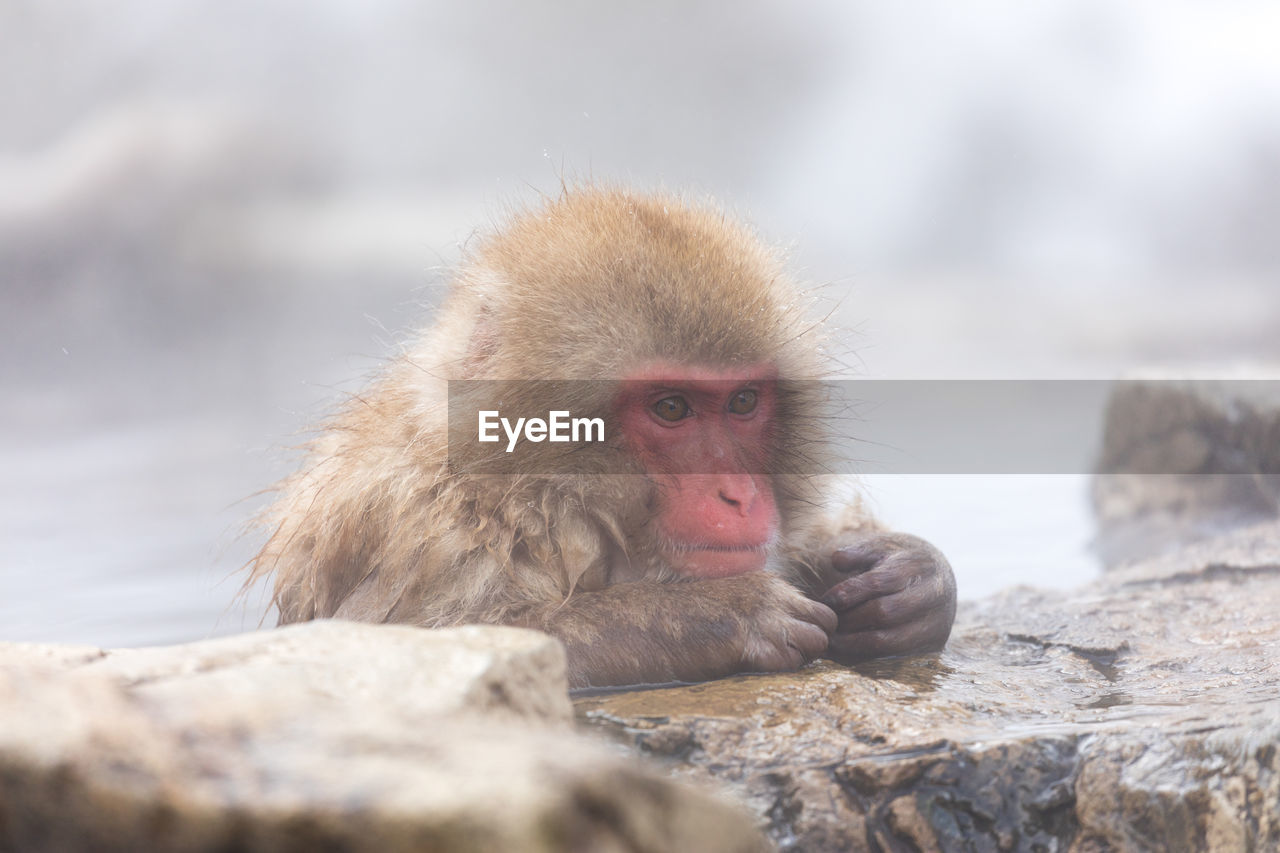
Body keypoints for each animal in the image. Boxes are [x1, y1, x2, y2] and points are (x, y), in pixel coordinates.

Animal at [247, 185, 952, 686]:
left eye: (743, 402)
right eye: (671, 408)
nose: (738, 495)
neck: (520, 494)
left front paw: (910, 576)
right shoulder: (418, 527)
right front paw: (712, 615)